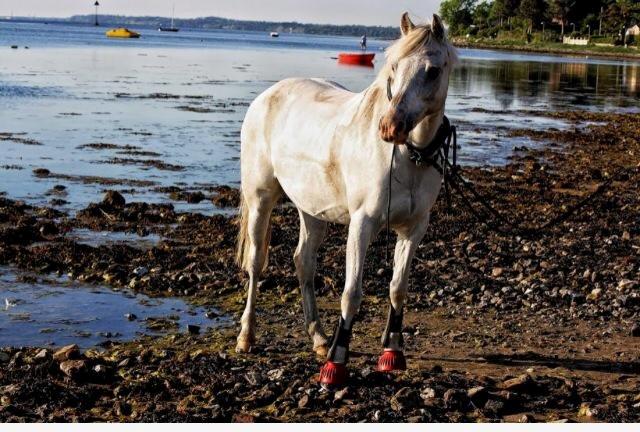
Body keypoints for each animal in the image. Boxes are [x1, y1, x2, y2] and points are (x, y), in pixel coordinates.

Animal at [235, 13, 458, 386]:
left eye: (432, 70)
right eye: (394, 67)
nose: (390, 127)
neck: (407, 157)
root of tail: (266, 96)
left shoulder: (414, 229)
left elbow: (398, 287)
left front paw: (392, 354)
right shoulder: (362, 224)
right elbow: (351, 293)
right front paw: (336, 365)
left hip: (312, 210)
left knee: (303, 262)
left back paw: (319, 338)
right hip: (260, 199)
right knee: (256, 263)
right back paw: (247, 336)